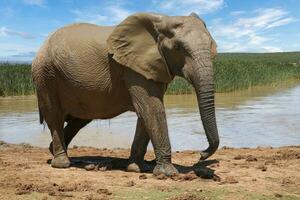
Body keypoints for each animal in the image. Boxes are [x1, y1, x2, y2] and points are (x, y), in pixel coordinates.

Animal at [31, 11, 219, 176]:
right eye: (178, 48)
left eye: (212, 45)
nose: (201, 154)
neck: (162, 20)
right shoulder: (133, 68)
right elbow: (152, 109)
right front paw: (168, 173)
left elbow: (146, 113)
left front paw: (137, 168)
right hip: (46, 75)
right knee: (54, 115)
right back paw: (62, 163)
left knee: (81, 118)